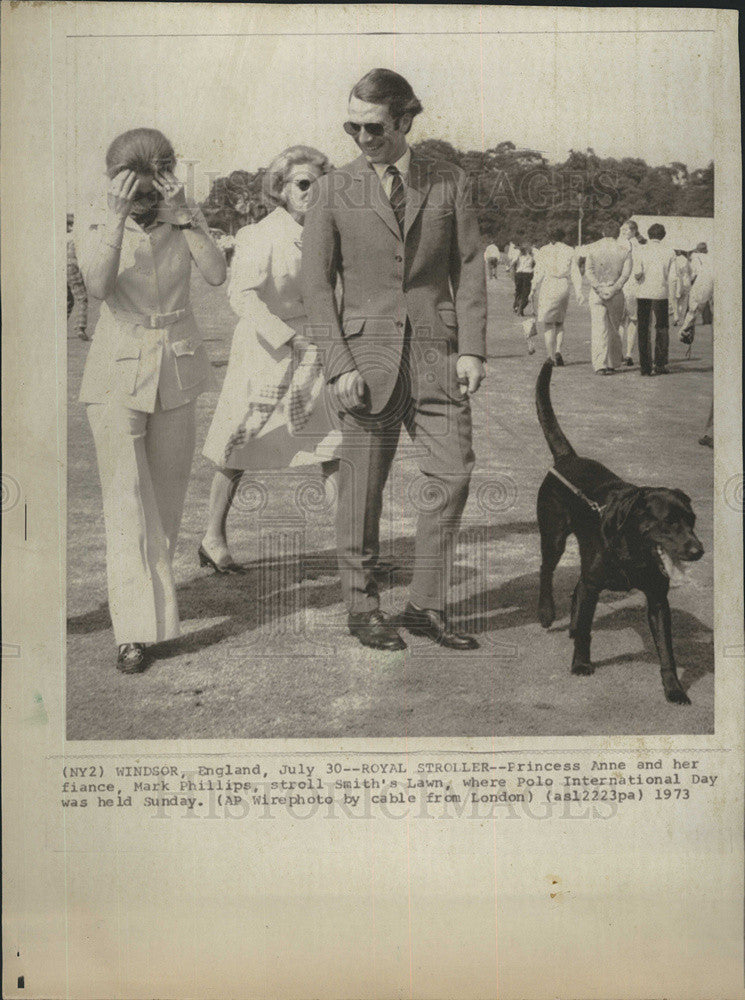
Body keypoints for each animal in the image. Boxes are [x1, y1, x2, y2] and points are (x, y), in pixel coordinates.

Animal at [536, 362, 704, 704]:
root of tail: (567, 459)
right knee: (546, 571)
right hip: (554, 536)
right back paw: (548, 612)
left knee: (576, 587)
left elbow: (666, 650)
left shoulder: (658, 599)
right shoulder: (594, 583)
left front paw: (674, 688)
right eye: (668, 523)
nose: (698, 550)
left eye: (691, 520)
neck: (633, 551)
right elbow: (586, 631)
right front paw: (581, 663)